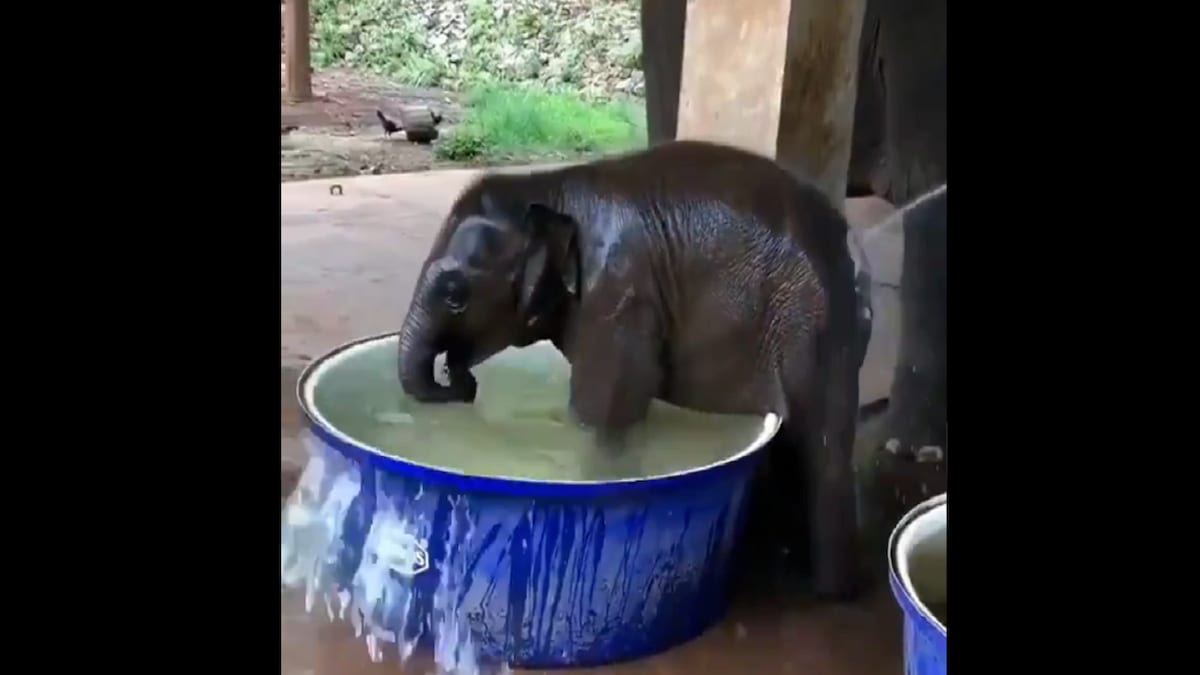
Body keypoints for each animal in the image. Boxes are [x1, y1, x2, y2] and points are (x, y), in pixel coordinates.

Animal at [398, 139, 868, 595]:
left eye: (455, 295)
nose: (461, 380)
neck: (546, 188)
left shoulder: (619, 298)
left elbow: (601, 415)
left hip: (813, 328)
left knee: (822, 452)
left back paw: (831, 592)